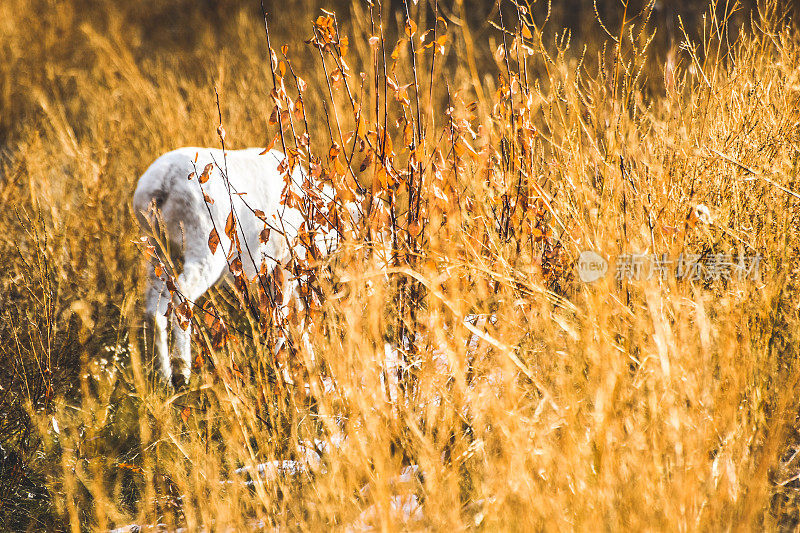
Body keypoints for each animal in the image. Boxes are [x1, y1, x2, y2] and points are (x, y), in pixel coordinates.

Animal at [134, 148, 340, 388]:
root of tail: (162, 185)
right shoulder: (286, 263)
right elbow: (285, 312)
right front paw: (287, 371)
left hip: (156, 249)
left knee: (154, 308)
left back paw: (164, 378)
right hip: (205, 246)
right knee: (182, 295)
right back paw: (183, 372)